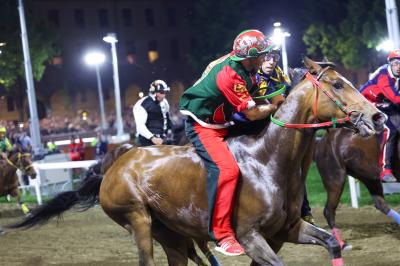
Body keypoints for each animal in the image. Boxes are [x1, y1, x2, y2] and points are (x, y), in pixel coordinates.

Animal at [9, 57, 384, 264]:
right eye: (337, 84)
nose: (377, 116)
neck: (268, 160)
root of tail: (115, 165)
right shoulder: (249, 236)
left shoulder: (285, 230)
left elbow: (332, 243)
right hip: (137, 220)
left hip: (171, 234)